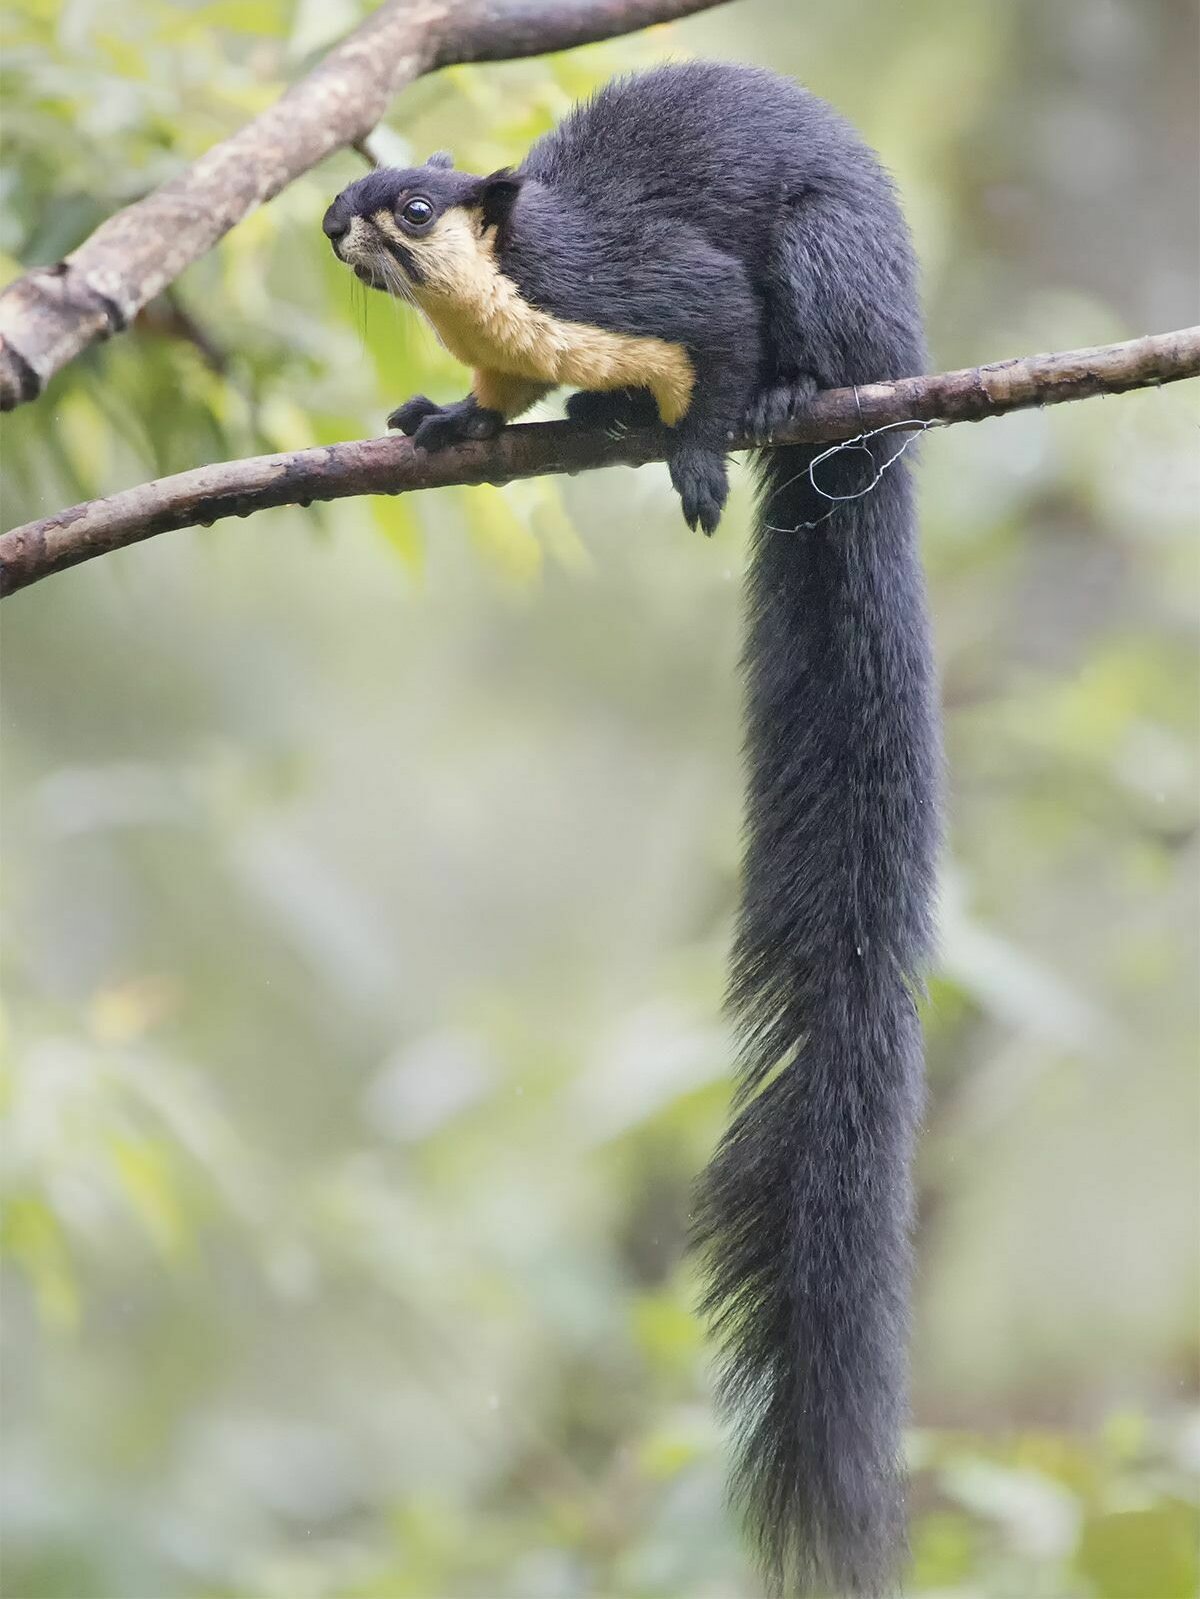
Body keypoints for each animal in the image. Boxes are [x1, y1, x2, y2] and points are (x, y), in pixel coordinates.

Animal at [324, 61, 942, 1598]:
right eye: (360, 193)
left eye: (414, 204)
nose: (332, 218)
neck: (498, 292)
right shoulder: (520, 349)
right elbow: (499, 396)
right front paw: (449, 420)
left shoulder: (648, 281)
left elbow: (712, 347)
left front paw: (704, 455)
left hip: (833, 265)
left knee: (805, 352)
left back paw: (784, 398)